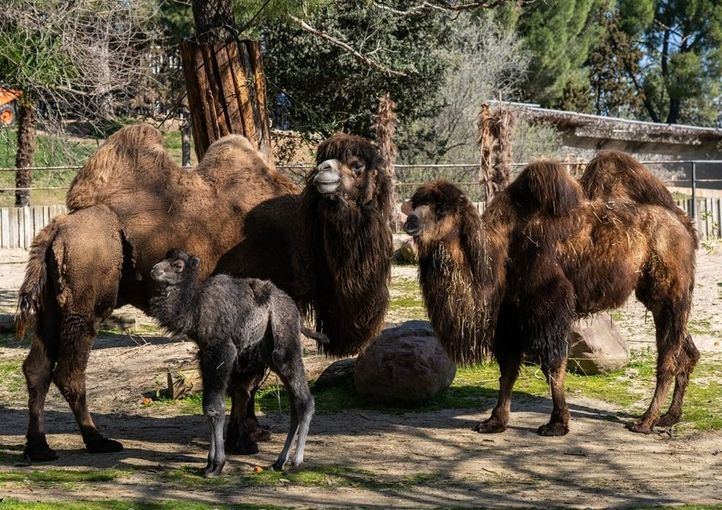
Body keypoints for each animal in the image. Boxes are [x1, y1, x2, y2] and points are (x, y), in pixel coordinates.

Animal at [17, 124, 393, 461]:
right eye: (330, 159)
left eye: (358, 164)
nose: (323, 172)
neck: (302, 231)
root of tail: (56, 227)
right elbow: (246, 380)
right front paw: (244, 440)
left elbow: (247, 377)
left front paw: (252, 432)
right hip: (86, 294)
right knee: (69, 370)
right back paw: (98, 441)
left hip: (53, 304)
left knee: (37, 368)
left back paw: (39, 448)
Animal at [403, 150, 698, 436]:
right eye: (416, 204)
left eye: (441, 209)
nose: (410, 221)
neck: (500, 253)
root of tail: (684, 222)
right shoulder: (508, 316)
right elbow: (507, 370)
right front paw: (494, 421)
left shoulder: (548, 305)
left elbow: (553, 365)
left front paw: (556, 424)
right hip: (657, 297)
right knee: (686, 350)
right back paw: (670, 417)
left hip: (670, 291)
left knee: (668, 358)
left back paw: (646, 421)